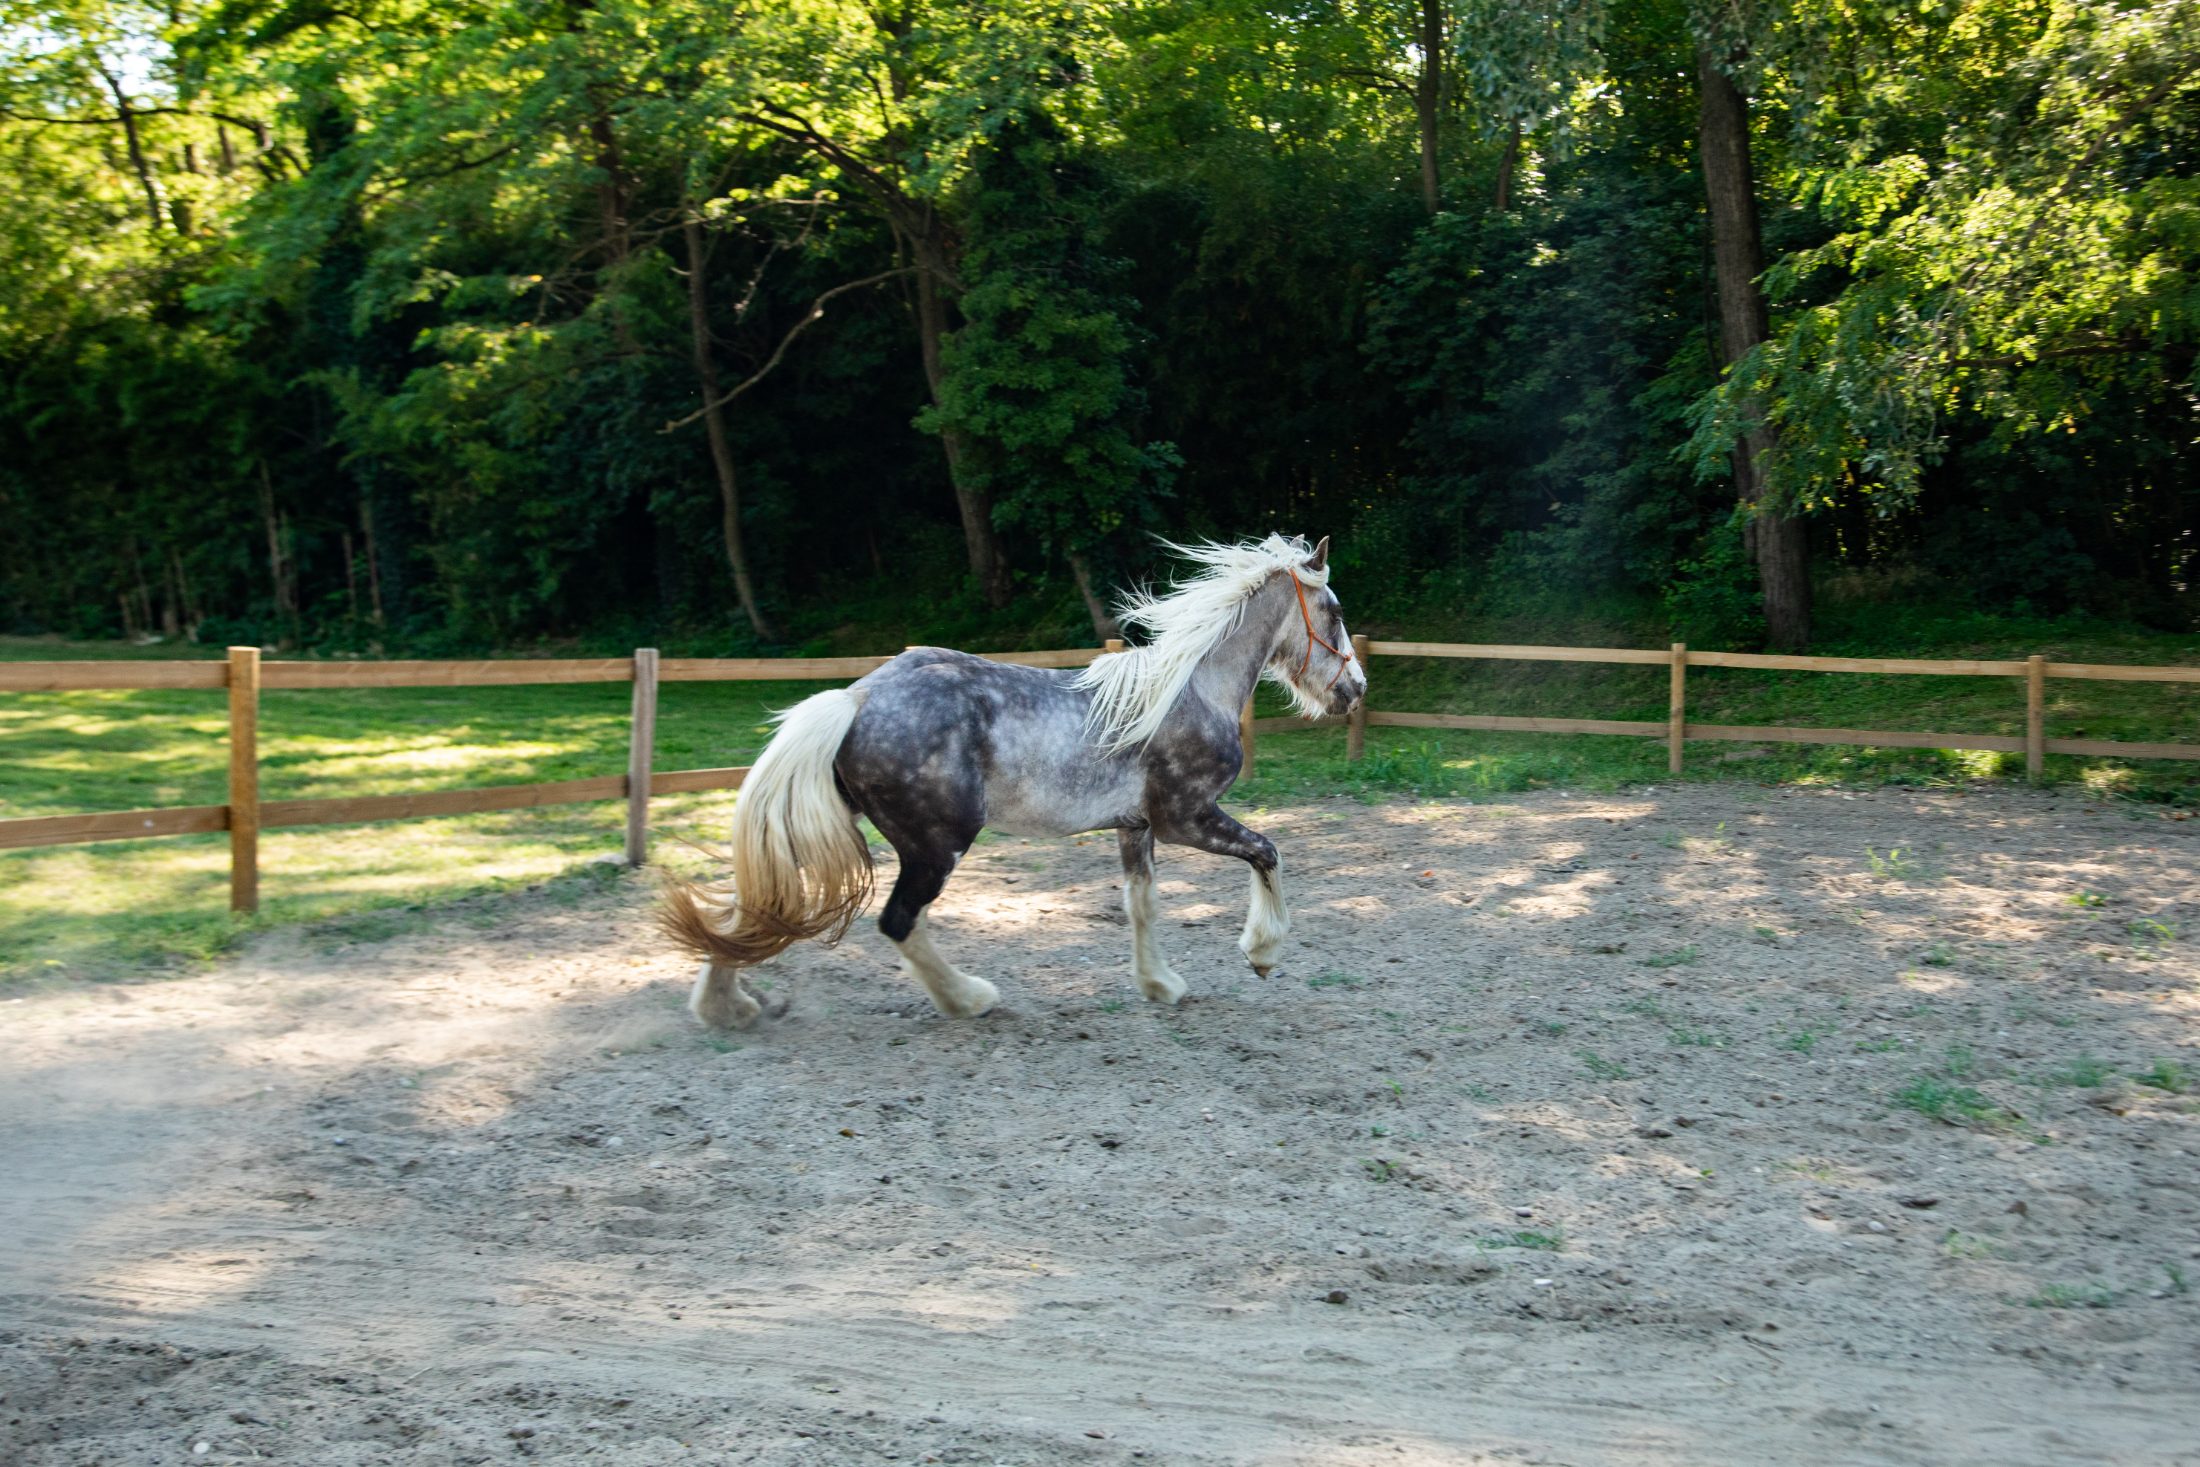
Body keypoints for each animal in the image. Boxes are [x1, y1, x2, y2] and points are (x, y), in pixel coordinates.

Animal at [660, 533, 1367, 1029]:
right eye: (1333, 611)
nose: (1355, 690)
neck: (1191, 690)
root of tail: (856, 698)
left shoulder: (1135, 826)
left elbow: (1142, 904)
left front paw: (1159, 985)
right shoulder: (1186, 818)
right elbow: (1268, 852)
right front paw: (1262, 953)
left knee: (759, 903)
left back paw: (727, 1009)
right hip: (936, 844)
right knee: (897, 921)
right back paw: (969, 999)